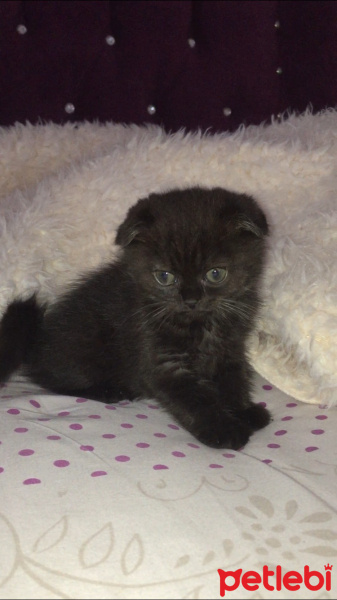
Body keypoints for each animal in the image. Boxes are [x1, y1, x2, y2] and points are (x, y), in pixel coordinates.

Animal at [0, 186, 270, 446]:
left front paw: (243, 411)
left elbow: (234, 380)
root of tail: (38, 338)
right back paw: (109, 391)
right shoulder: (160, 361)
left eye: (215, 274)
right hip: (84, 345)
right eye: (165, 277)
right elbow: (195, 400)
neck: (200, 325)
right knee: (54, 379)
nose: (191, 300)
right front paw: (223, 429)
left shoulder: (230, 349)